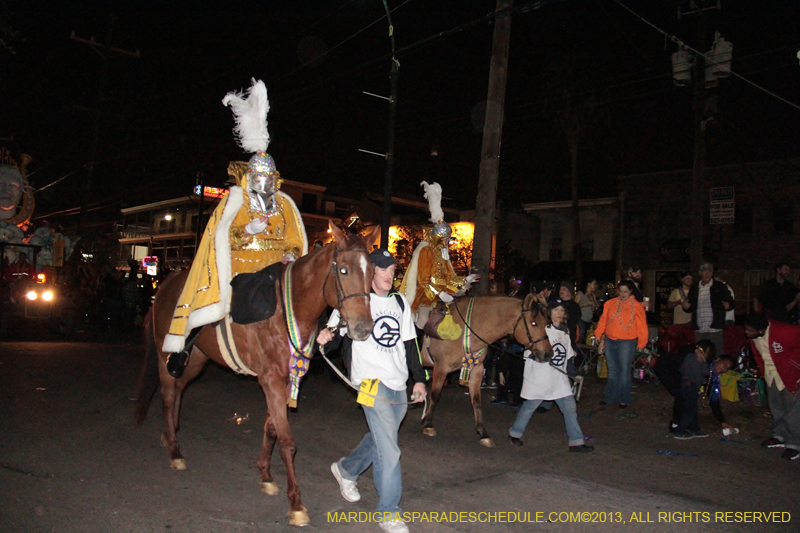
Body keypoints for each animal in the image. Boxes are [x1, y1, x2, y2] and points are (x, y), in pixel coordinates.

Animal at [134, 223, 378, 524]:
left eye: (371, 272)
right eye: (343, 270)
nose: (363, 328)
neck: (289, 310)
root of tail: (165, 286)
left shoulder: (285, 380)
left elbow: (271, 428)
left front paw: (265, 474)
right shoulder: (271, 380)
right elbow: (287, 443)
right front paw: (296, 504)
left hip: (197, 359)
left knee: (178, 390)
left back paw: (170, 434)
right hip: (166, 353)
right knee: (168, 395)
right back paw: (174, 450)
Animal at [418, 294, 552, 446]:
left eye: (545, 323)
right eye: (534, 323)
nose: (548, 353)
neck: (464, 330)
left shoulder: (476, 369)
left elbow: (476, 400)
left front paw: (483, 433)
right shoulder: (441, 367)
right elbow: (435, 395)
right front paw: (428, 424)